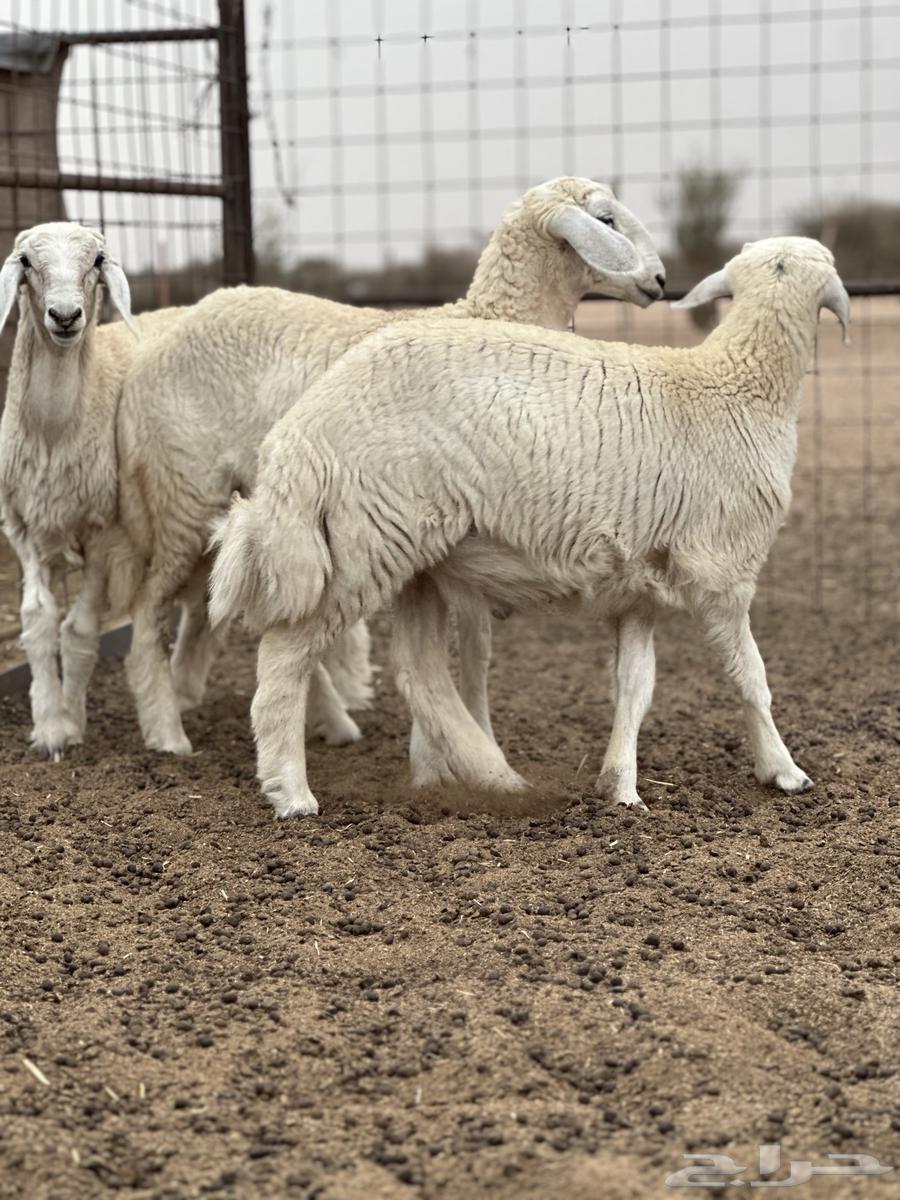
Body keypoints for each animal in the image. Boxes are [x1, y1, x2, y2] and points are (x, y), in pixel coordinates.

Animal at [0, 223, 183, 759]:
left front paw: (72, 721)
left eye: (97, 260)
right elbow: (37, 622)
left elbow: (79, 632)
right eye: (26, 261)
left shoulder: (105, 532)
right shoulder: (21, 526)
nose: (64, 316)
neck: (55, 436)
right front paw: (50, 726)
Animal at [108, 176, 665, 757]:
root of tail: (148, 355)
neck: (488, 315)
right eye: (606, 220)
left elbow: (478, 652)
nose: (660, 282)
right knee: (149, 611)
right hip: (181, 491)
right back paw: (167, 732)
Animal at [207, 236, 850, 818]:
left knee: (420, 671)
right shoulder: (723, 569)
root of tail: (297, 434)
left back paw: (493, 776)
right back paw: (292, 791)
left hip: (410, 551)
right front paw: (783, 769)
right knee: (286, 657)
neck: (735, 387)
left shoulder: (639, 587)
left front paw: (620, 785)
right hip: (362, 541)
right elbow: (751, 676)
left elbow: (635, 688)